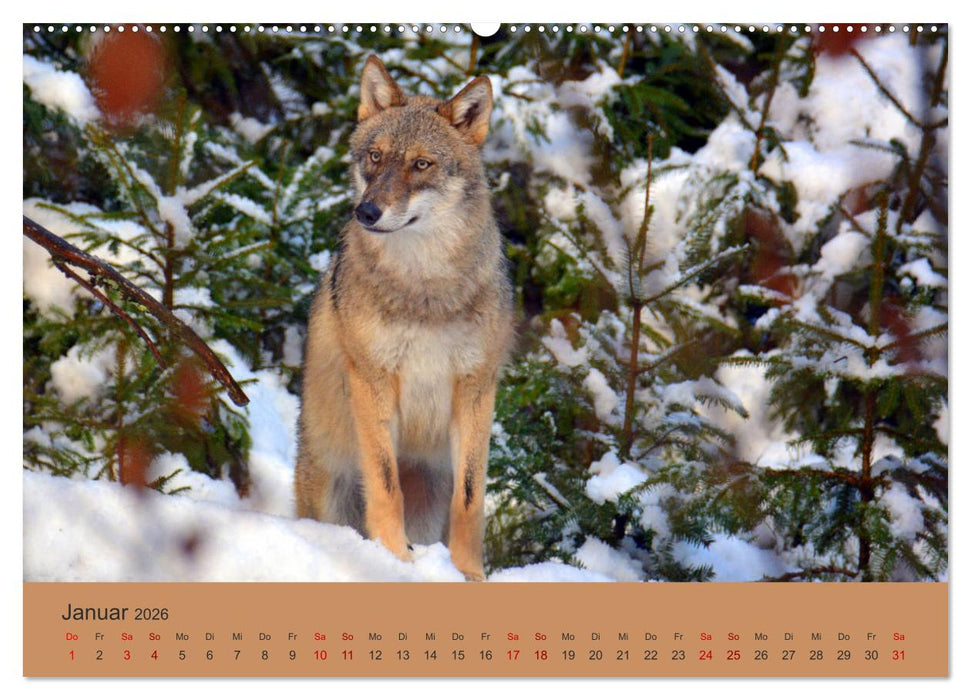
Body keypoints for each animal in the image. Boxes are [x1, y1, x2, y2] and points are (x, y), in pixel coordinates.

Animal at [294, 56, 514, 581]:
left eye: (421, 164)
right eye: (375, 157)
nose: (367, 212)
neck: (424, 289)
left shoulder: (476, 387)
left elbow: (471, 499)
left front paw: (469, 575)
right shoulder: (372, 379)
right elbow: (385, 482)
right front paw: (395, 561)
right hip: (330, 486)